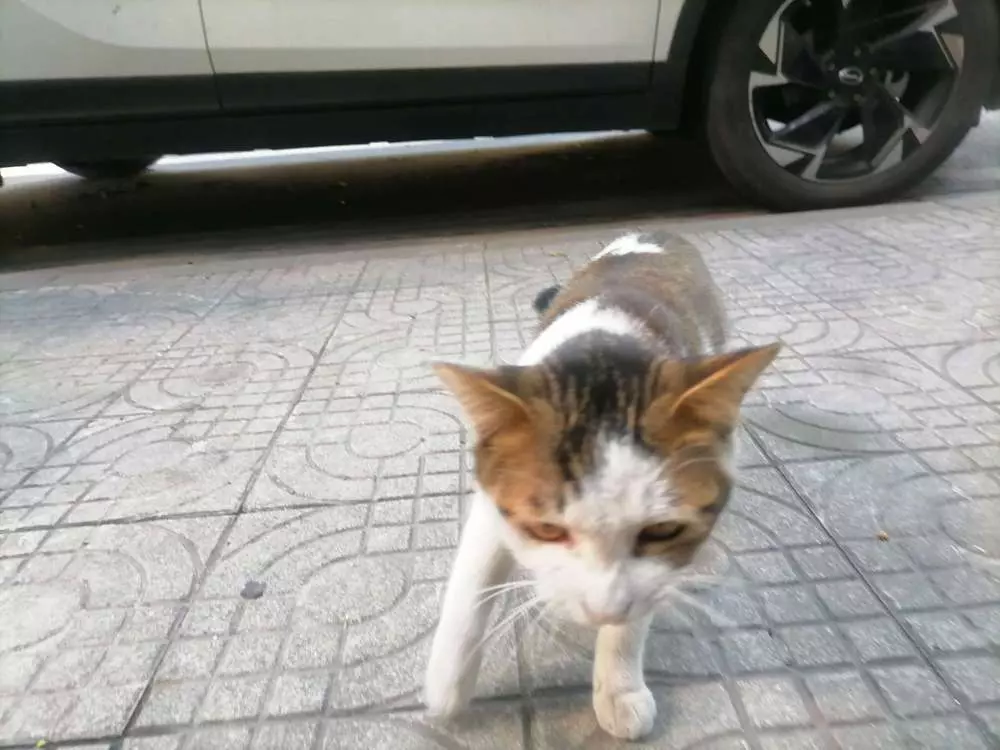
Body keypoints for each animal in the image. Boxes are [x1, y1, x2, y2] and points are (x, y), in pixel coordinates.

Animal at [424, 231, 780, 740]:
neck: (606, 350)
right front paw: (446, 684)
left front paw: (619, 687)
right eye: (548, 529)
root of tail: (657, 233)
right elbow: (469, 588)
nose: (602, 609)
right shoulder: (492, 503)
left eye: (662, 530)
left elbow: (641, 603)